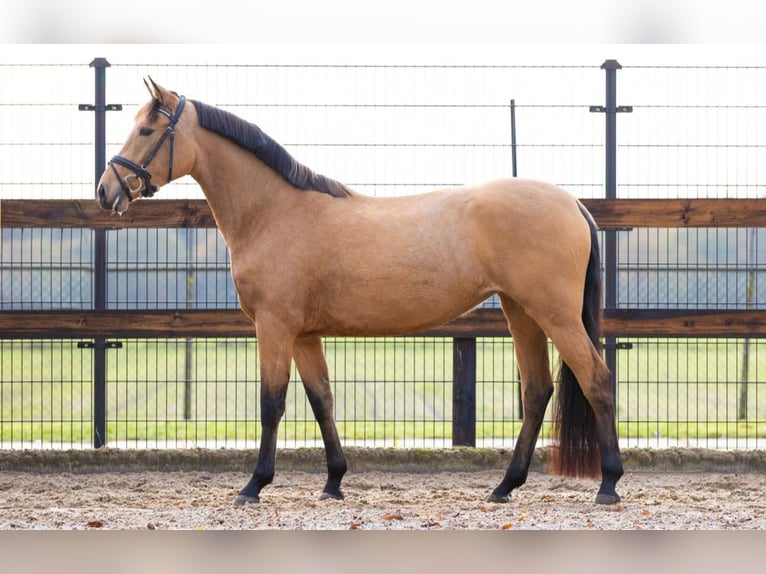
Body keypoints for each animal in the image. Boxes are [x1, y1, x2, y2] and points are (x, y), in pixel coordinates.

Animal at [96, 78, 623, 506]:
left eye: (147, 130)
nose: (106, 190)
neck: (273, 211)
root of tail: (573, 203)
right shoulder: (304, 334)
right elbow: (321, 401)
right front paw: (333, 482)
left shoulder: (274, 326)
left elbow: (271, 403)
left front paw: (254, 485)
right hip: (522, 313)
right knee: (537, 391)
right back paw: (505, 486)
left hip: (554, 315)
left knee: (596, 380)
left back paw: (608, 485)